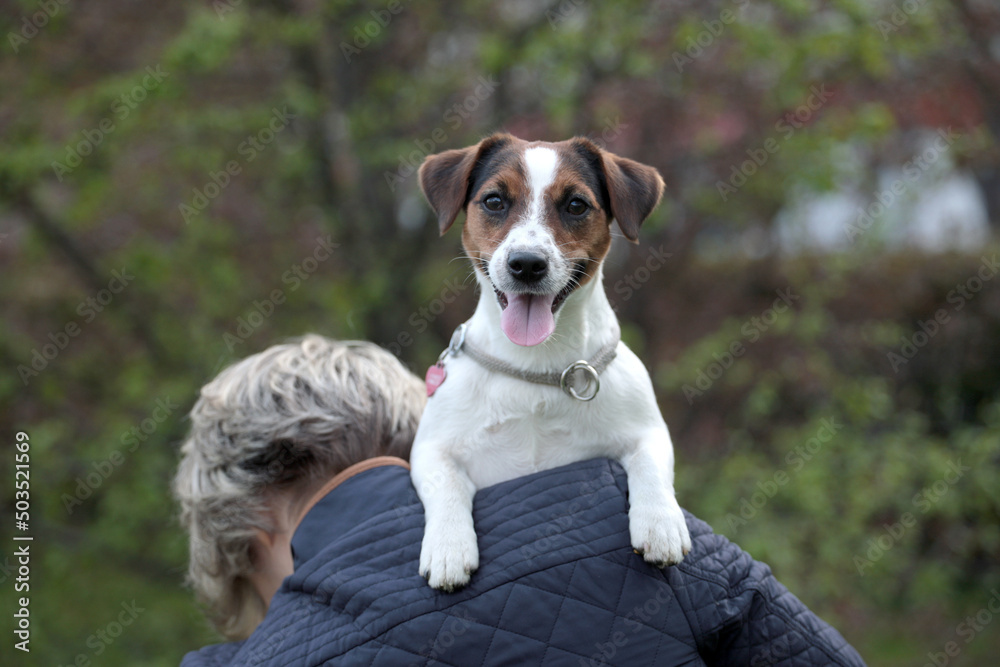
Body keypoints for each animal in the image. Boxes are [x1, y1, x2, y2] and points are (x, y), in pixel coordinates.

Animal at [408, 133, 688, 592]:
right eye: (494, 201)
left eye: (576, 205)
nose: (526, 264)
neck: (536, 365)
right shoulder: (431, 449)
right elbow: (446, 485)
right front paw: (448, 547)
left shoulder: (647, 431)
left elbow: (651, 467)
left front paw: (661, 523)